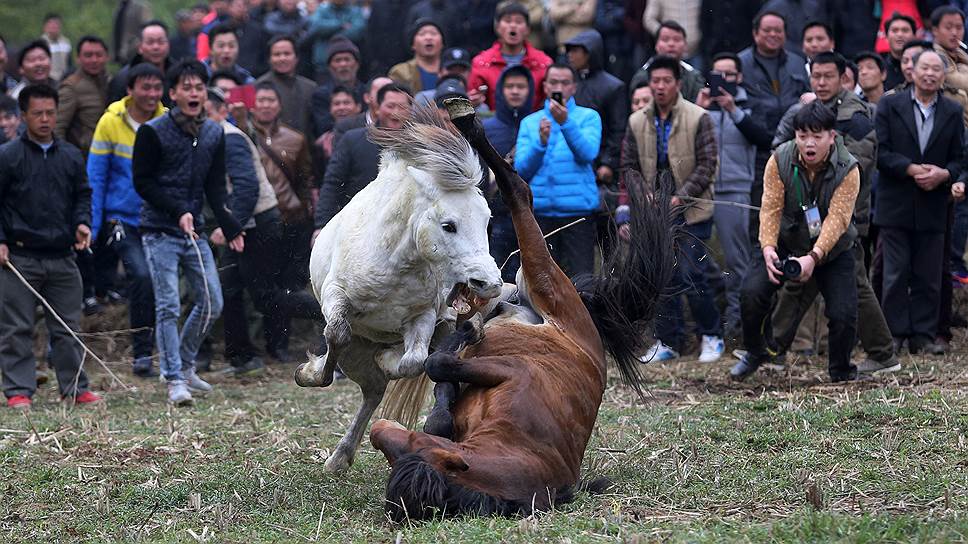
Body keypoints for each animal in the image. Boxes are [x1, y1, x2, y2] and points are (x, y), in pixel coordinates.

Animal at [294, 109, 502, 472]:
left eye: (486, 219)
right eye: (448, 225)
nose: (488, 282)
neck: (396, 260)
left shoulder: (423, 317)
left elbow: (414, 361)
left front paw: (390, 358)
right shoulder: (337, 297)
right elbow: (336, 334)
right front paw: (310, 371)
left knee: (377, 388)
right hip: (355, 351)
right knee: (369, 386)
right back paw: (339, 455)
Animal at [366, 100, 676, 520]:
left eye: (407, 448)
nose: (379, 431)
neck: (521, 447)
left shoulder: (510, 371)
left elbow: (438, 365)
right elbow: (441, 395)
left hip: (544, 276)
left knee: (520, 191)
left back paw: (468, 124)